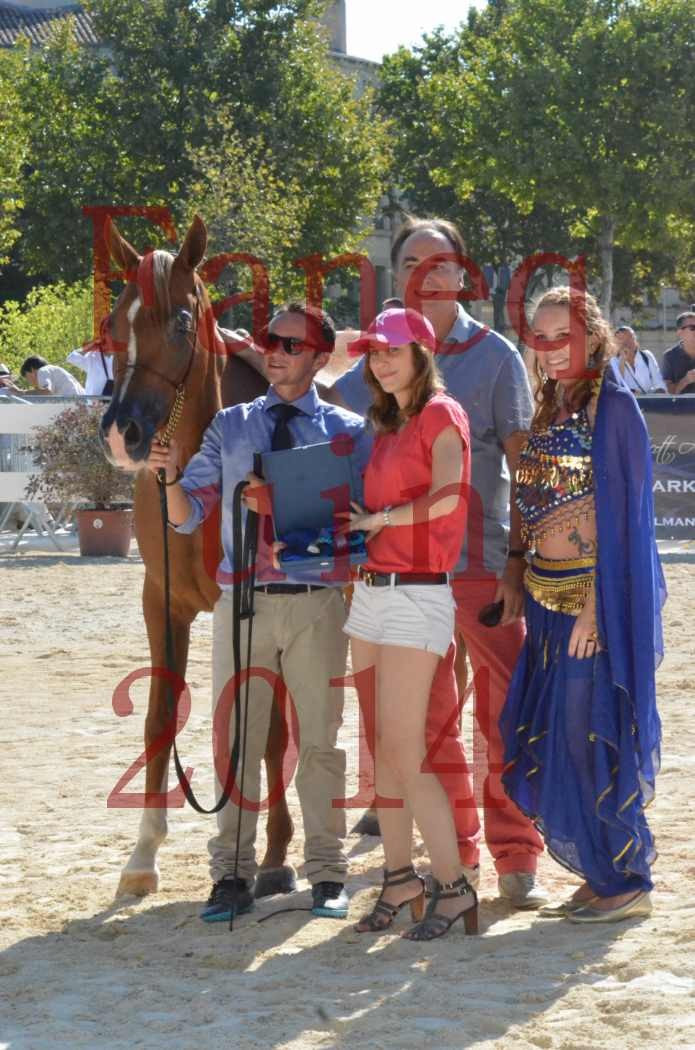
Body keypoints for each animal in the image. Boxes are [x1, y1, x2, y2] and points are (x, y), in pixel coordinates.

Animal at [99, 217, 296, 898]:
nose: (122, 432)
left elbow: (267, 733)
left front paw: (275, 852)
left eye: (183, 321)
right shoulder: (161, 605)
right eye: (114, 322)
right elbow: (160, 715)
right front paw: (142, 855)